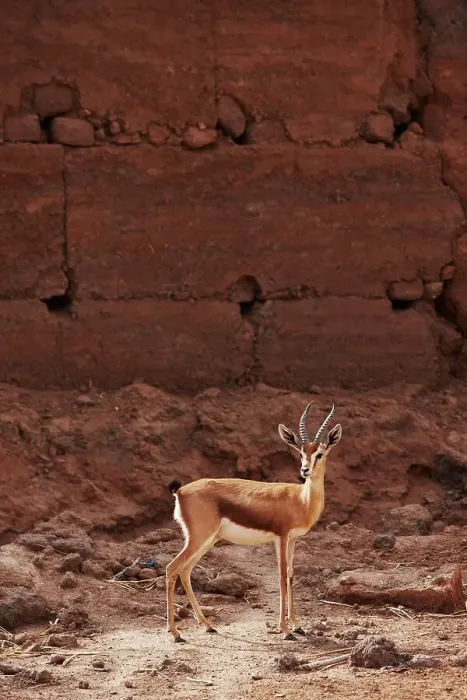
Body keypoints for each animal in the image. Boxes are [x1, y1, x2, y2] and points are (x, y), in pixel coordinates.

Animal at [166, 401, 342, 642]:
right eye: (301, 452)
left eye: (320, 454)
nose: (305, 470)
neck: (300, 500)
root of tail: (180, 491)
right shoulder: (281, 537)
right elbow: (281, 576)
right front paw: (286, 630)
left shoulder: (293, 539)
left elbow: (291, 575)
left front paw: (297, 625)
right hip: (199, 538)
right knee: (171, 568)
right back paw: (175, 633)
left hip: (208, 540)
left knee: (184, 571)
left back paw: (208, 625)